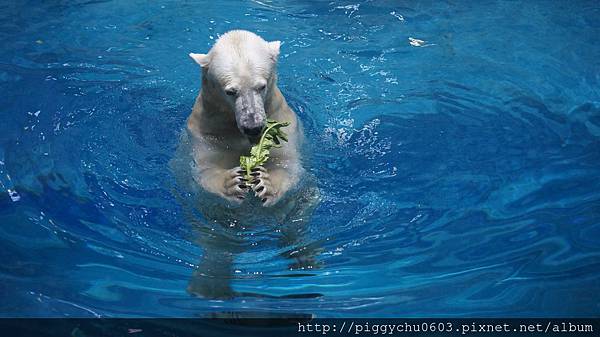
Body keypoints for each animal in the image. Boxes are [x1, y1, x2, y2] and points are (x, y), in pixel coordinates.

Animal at [186, 30, 300, 206]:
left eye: (261, 86)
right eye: (230, 91)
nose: (253, 127)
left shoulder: (284, 122)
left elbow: (287, 163)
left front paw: (265, 182)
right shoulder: (207, 134)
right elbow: (206, 168)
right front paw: (233, 181)